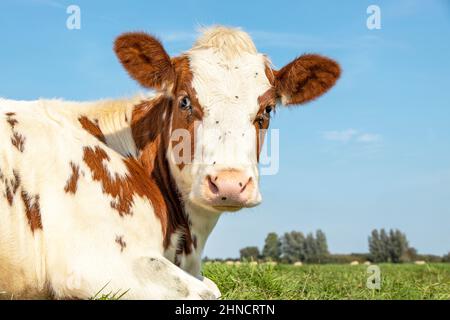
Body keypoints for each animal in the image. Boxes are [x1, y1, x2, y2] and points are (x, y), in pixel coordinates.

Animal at [0, 26, 338, 298]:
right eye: (185, 101)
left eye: (267, 109)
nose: (229, 183)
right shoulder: (92, 263)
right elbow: (205, 292)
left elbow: (212, 286)